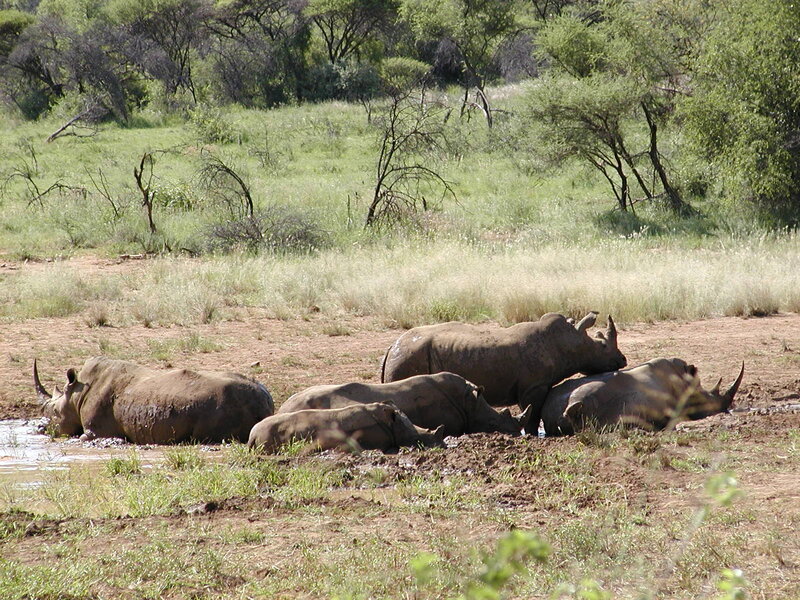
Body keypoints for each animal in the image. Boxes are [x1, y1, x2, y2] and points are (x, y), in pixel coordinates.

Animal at [34, 357, 274, 444]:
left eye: (54, 413)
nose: (42, 429)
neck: (75, 394)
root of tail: (267, 403)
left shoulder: (96, 432)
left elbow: (83, 436)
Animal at [381, 312, 626, 431]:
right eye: (602, 346)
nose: (622, 361)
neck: (571, 341)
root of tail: (391, 346)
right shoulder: (533, 386)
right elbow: (532, 414)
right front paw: (530, 435)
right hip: (408, 355)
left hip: (406, 354)